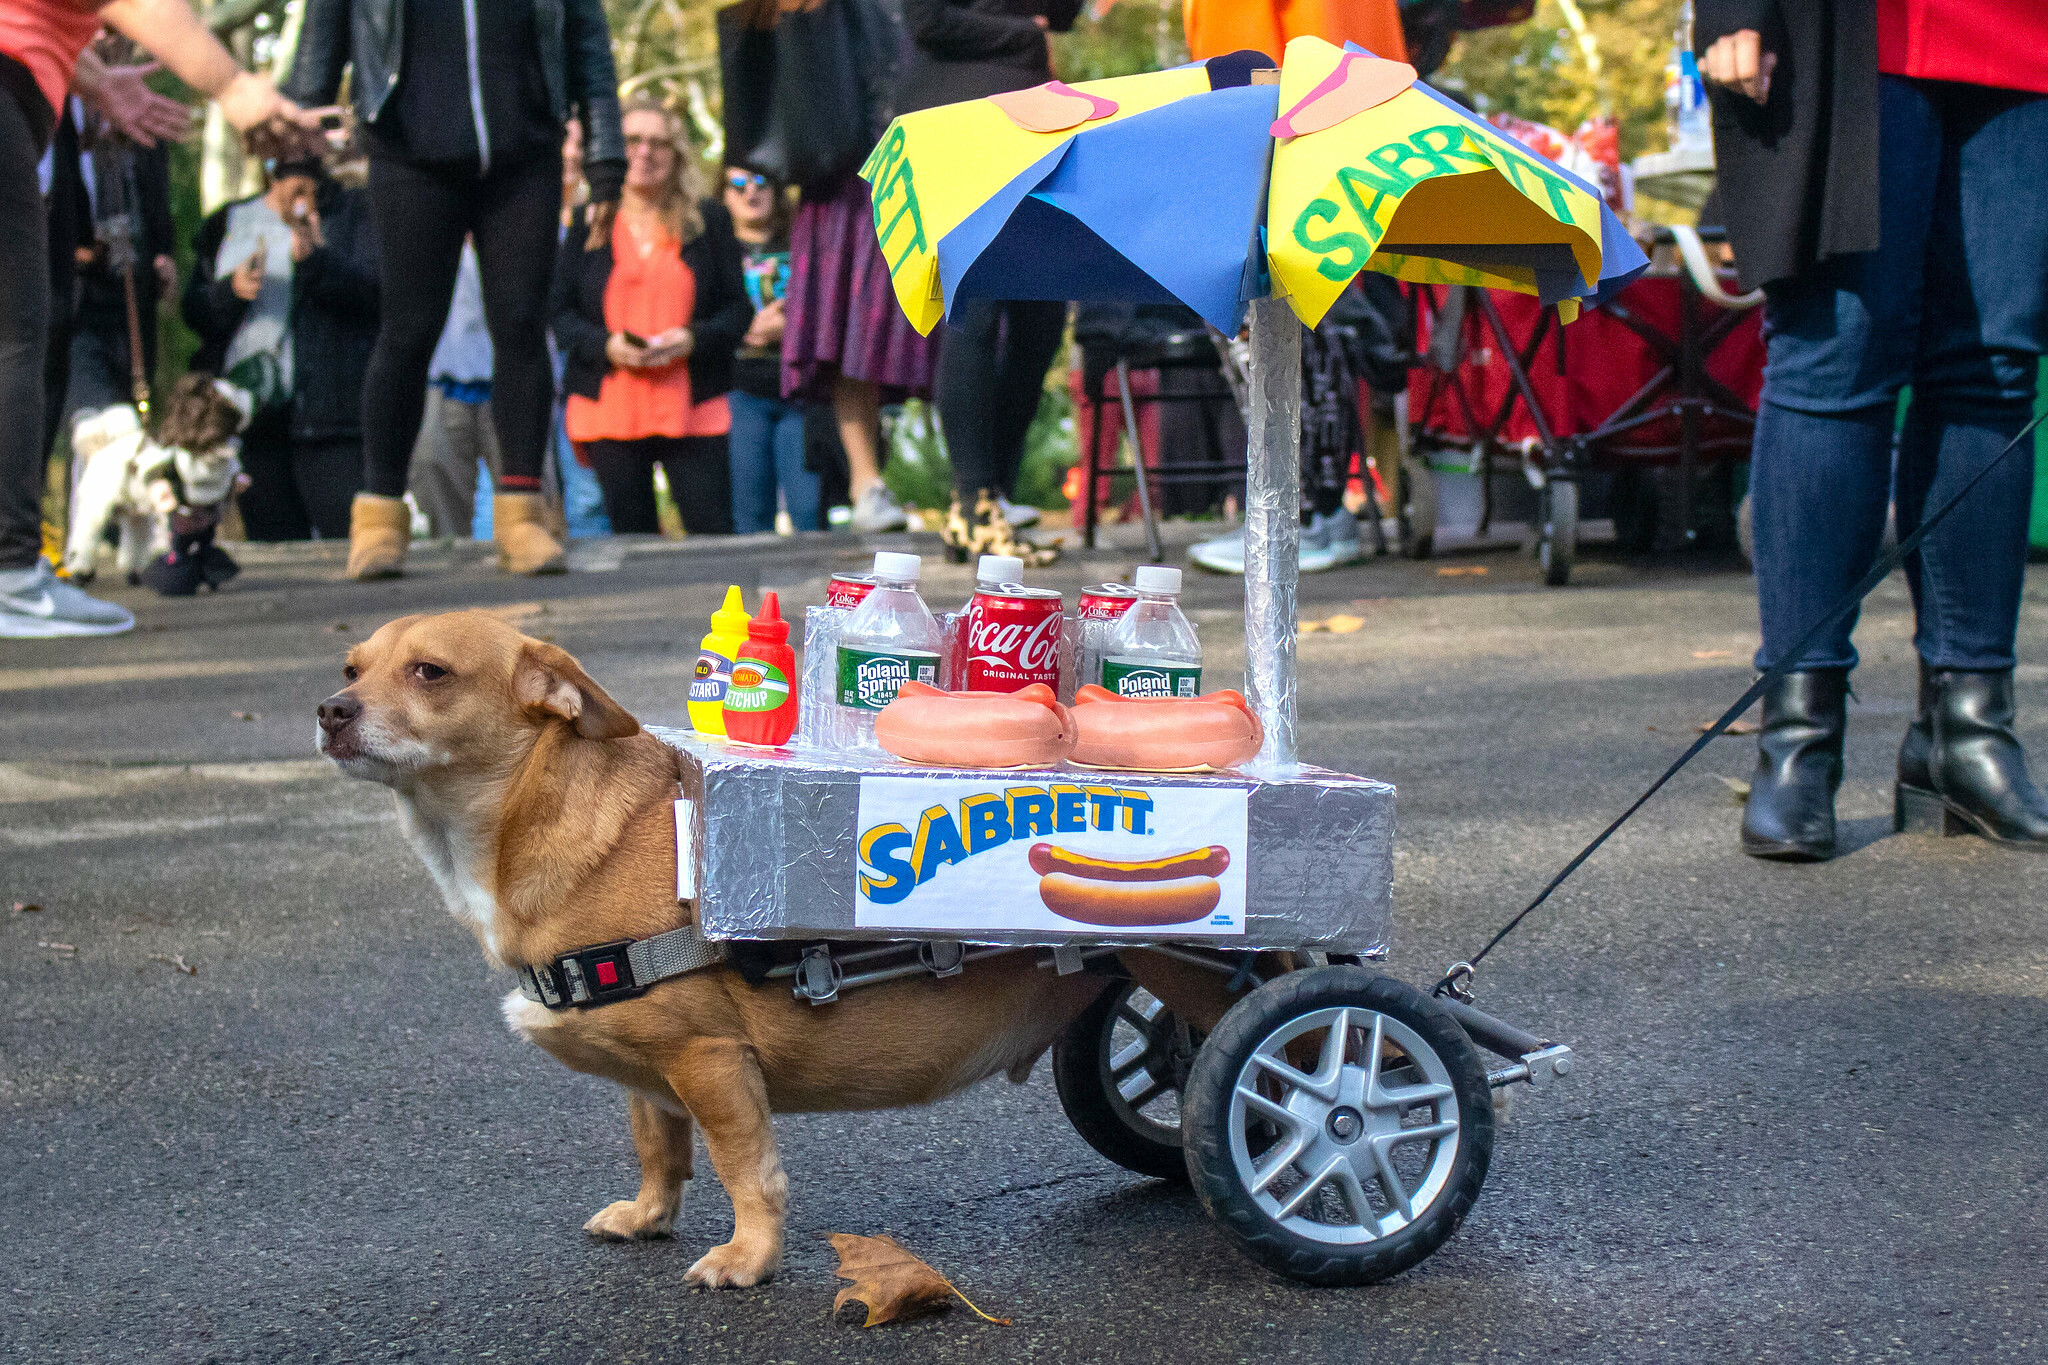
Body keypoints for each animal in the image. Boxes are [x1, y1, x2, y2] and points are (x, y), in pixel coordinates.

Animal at [319, 613, 1228, 1285]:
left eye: (430, 672)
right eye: (352, 667)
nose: (331, 710)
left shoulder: (711, 1059)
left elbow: (744, 1168)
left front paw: (748, 1257)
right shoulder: (654, 1068)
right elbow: (658, 1143)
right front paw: (649, 1215)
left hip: (1201, 974)